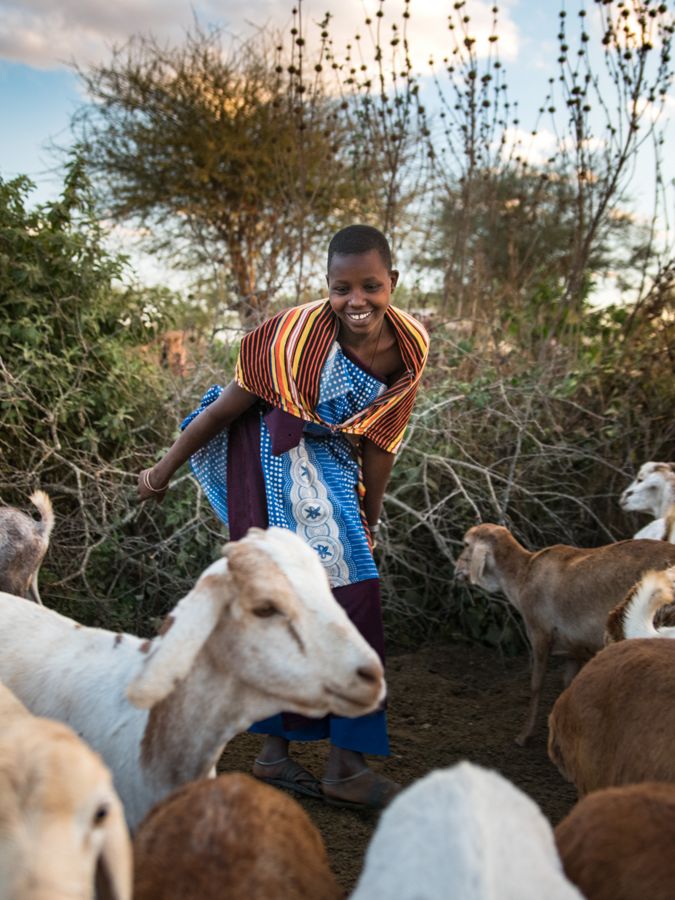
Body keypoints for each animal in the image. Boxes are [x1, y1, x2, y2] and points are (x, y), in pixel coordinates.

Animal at [454, 520, 675, 744]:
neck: (522, 576)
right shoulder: (573, 650)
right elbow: (568, 685)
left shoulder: (539, 633)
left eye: (465, 544)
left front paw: (523, 736)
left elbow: (536, 684)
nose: (456, 571)